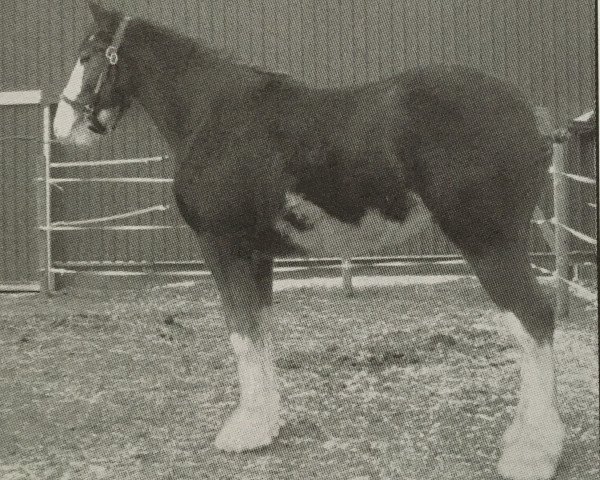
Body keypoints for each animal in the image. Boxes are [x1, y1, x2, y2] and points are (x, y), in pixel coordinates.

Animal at [54, 4, 564, 480]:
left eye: (86, 55)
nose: (62, 127)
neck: (213, 113)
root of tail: (531, 116)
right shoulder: (256, 256)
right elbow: (259, 332)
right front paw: (265, 425)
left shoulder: (222, 248)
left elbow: (241, 335)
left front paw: (243, 432)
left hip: (490, 245)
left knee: (534, 321)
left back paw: (532, 452)